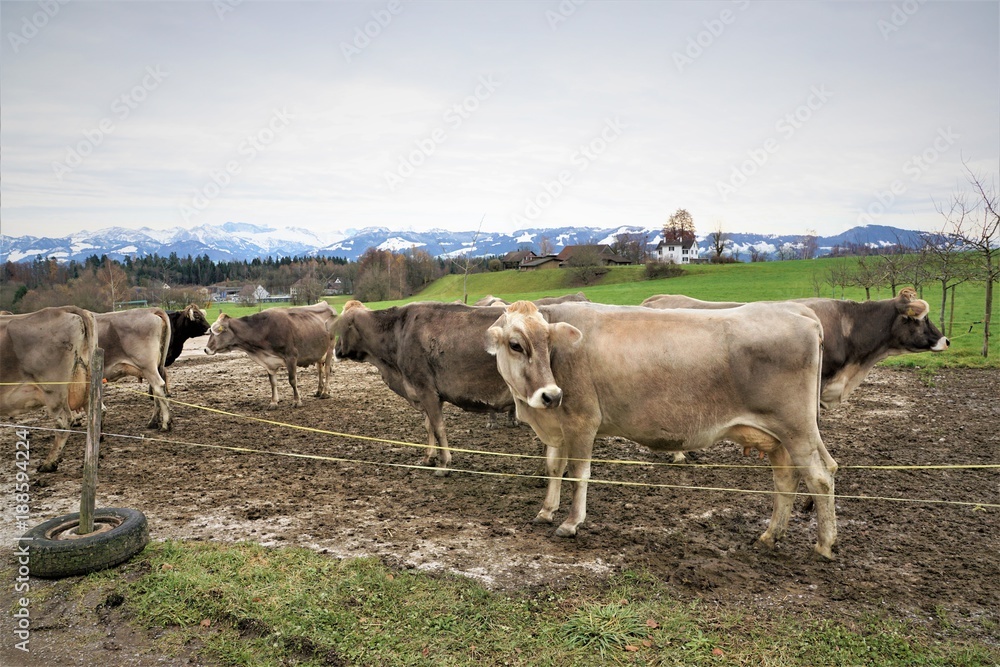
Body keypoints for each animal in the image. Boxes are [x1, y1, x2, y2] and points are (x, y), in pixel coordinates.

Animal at [204, 301, 337, 407]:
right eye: (210, 331)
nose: (206, 349)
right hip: (319, 352)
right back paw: (319, 390)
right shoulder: (269, 362)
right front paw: (273, 402)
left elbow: (292, 380)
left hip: (330, 348)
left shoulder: (291, 356)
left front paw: (297, 401)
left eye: (219, 330)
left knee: (326, 370)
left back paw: (325, 392)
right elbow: (272, 382)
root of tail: (326, 304)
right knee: (320, 370)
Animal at [333, 300, 515, 474]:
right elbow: (428, 425)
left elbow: (438, 426)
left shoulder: (425, 388)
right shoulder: (429, 392)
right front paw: (429, 458)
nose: (335, 349)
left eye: (342, 325)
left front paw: (444, 464)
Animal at [486, 300, 838, 560]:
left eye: (548, 344)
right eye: (515, 345)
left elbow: (578, 473)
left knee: (820, 478)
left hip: (798, 430)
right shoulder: (557, 426)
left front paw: (571, 523)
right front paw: (546, 511)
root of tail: (797, 310)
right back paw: (769, 536)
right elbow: (553, 468)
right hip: (778, 438)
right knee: (787, 480)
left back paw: (824, 544)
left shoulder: (582, 420)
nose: (551, 395)